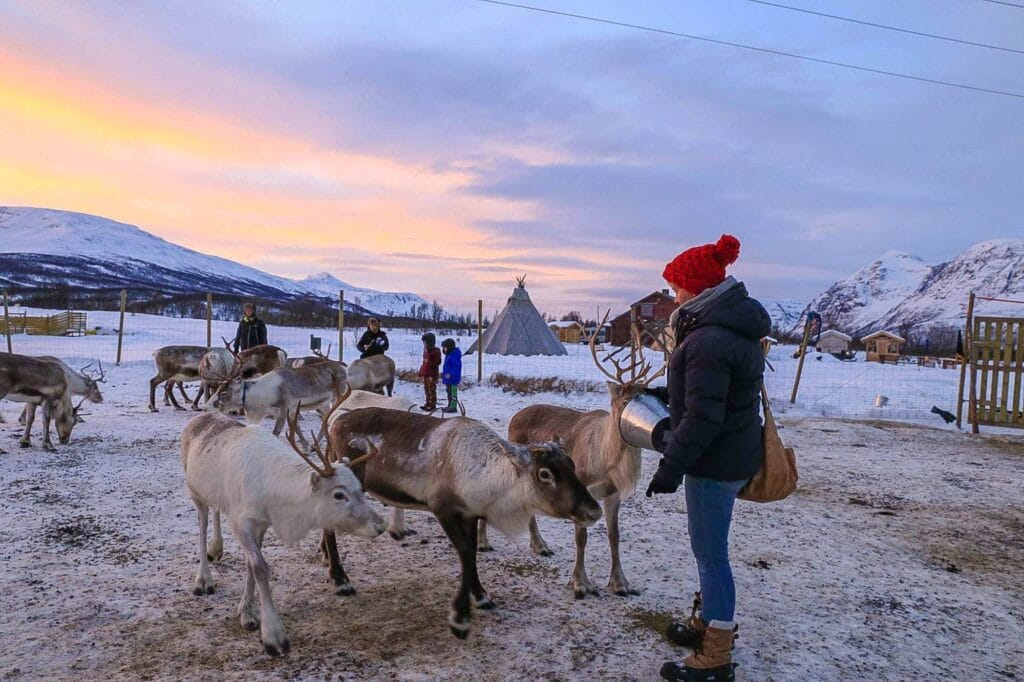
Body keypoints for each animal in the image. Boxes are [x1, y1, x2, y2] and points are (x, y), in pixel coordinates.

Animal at [181, 408, 386, 657]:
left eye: (359, 487)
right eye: (339, 495)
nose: (380, 524)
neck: (274, 494)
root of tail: (200, 416)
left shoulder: (261, 523)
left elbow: (251, 565)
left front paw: (247, 611)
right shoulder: (241, 522)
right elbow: (259, 567)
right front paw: (273, 635)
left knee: (217, 509)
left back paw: (216, 548)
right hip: (194, 491)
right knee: (202, 524)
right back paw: (203, 579)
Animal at [320, 406, 602, 639]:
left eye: (572, 465)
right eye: (545, 473)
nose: (594, 510)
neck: (487, 477)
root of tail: (334, 423)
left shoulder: (471, 513)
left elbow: (472, 553)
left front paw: (480, 596)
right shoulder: (443, 509)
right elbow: (465, 553)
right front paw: (461, 615)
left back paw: (326, 559)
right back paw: (341, 580)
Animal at [478, 310, 668, 598]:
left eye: (643, 395)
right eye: (622, 399)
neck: (604, 461)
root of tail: (515, 417)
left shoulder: (612, 493)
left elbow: (614, 536)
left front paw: (620, 583)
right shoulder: (582, 487)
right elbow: (582, 537)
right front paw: (581, 583)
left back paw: (540, 545)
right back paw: (485, 543)